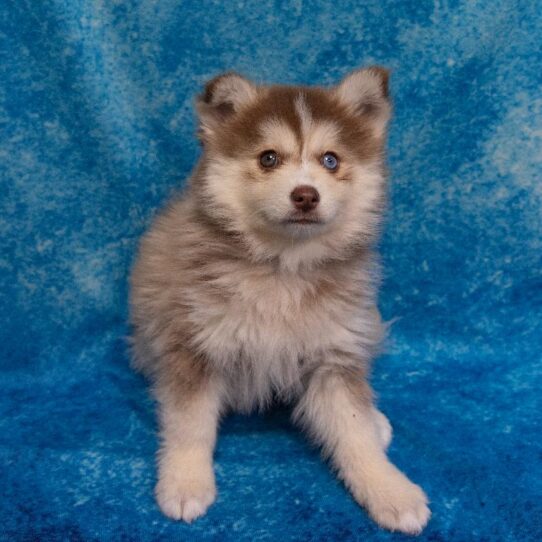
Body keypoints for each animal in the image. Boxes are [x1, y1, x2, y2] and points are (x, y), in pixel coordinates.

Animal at [130, 67, 432, 536]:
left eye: (331, 160)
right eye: (268, 158)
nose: (305, 195)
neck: (283, 268)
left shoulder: (333, 354)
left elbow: (354, 431)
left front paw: (389, 489)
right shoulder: (195, 344)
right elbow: (189, 423)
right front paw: (184, 481)